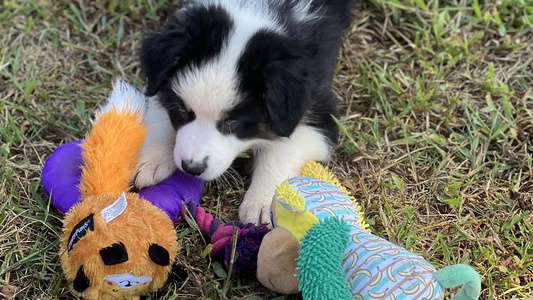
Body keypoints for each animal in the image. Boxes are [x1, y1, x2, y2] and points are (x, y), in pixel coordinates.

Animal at [135, 0, 356, 225]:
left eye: (232, 122)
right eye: (182, 110)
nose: (191, 167)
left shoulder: (319, 113)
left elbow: (281, 151)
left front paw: (264, 203)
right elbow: (160, 110)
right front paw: (151, 159)